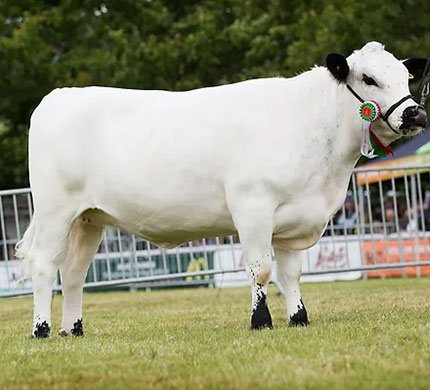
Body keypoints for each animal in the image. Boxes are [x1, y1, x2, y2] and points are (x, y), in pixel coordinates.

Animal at [15, 42, 426, 336]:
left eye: (406, 77)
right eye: (369, 79)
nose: (415, 113)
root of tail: (59, 95)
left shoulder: (293, 218)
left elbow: (291, 273)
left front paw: (299, 318)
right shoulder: (253, 207)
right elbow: (261, 270)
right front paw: (261, 322)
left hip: (89, 218)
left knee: (73, 272)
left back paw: (73, 329)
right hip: (55, 210)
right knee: (44, 264)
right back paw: (42, 330)